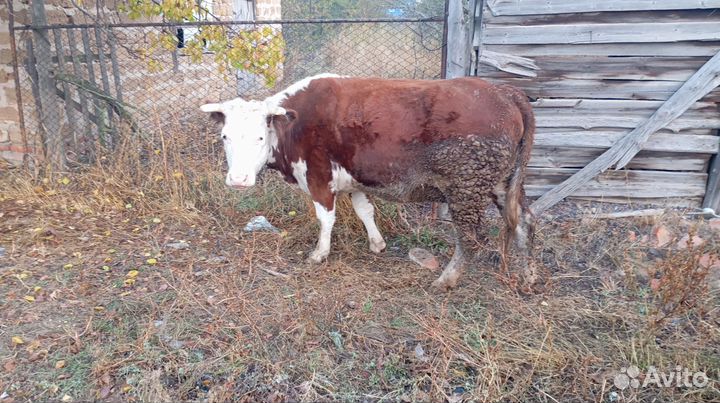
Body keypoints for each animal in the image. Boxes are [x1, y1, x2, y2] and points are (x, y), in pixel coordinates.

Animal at [200, 73, 536, 290]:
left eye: (260, 137)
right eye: (225, 136)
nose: (239, 179)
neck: (296, 122)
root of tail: (505, 92)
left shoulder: (319, 176)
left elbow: (326, 218)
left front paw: (319, 254)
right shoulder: (354, 180)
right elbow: (365, 211)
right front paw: (377, 243)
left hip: (466, 189)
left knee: (471, 238)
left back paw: (446, 280)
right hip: (502, 183)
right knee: (524, 221)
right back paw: (529, 276)